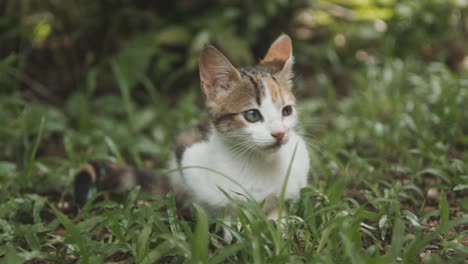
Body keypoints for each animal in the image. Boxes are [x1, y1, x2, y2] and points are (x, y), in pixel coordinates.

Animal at [75, 33, 310, 223]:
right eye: (252, 115)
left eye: (286, 111)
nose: (279, 133)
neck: (257, 163)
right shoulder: (189, 160)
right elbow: (225, 209)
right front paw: (235, 228)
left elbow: (276, 207)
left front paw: (278, 225)